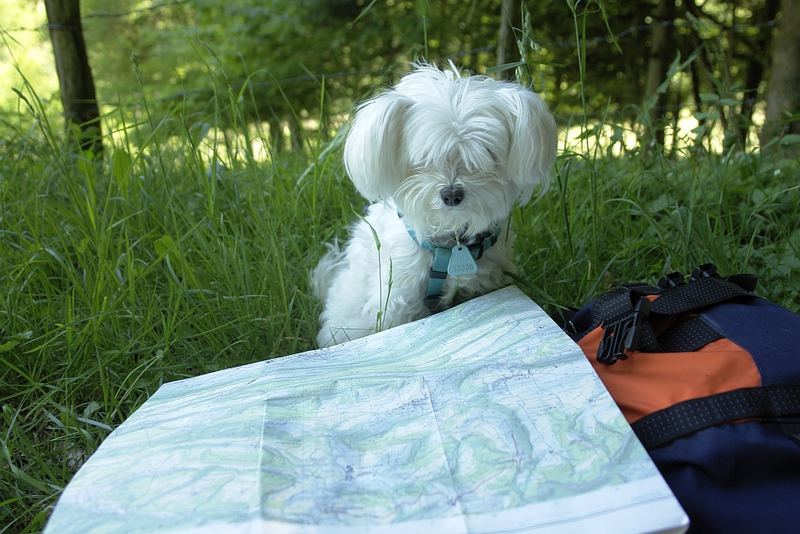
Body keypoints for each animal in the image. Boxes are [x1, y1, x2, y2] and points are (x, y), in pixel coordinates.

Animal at [312, 62, 556, 350]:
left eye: (485, 153)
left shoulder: (484, 285)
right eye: (423, 157)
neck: (450, 246)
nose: (451, 194)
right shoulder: (397, 298)